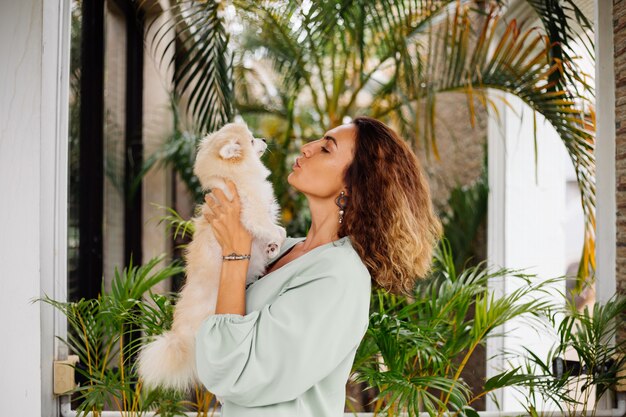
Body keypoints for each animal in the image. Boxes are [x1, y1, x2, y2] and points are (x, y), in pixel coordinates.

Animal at [138, 122, 286, 392]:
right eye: (251, 141)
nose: (263, 139)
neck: (233, 177)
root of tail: (179, 335)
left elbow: (279, 229)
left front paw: (271, 247)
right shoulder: (255, 216)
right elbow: (276, 230)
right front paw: (274, 245)